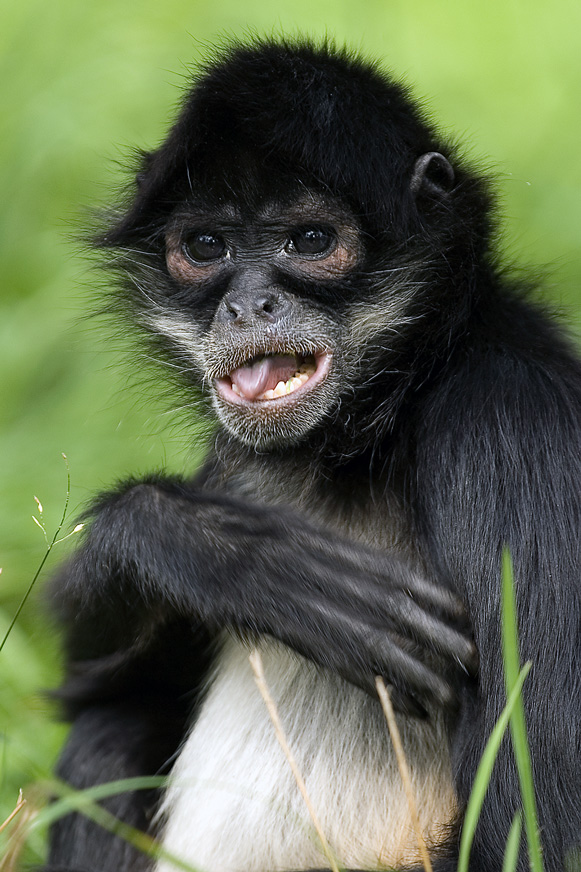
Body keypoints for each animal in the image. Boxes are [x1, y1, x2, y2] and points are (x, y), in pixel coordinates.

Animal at [44, 38, 581, 872]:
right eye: (205, 247)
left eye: (310, 242)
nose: (245, 304)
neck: (359, 441)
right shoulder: (237, 462)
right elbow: (79, 689)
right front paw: (227, 555)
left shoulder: (511, 420)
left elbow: (537, 831)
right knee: (106, 726)